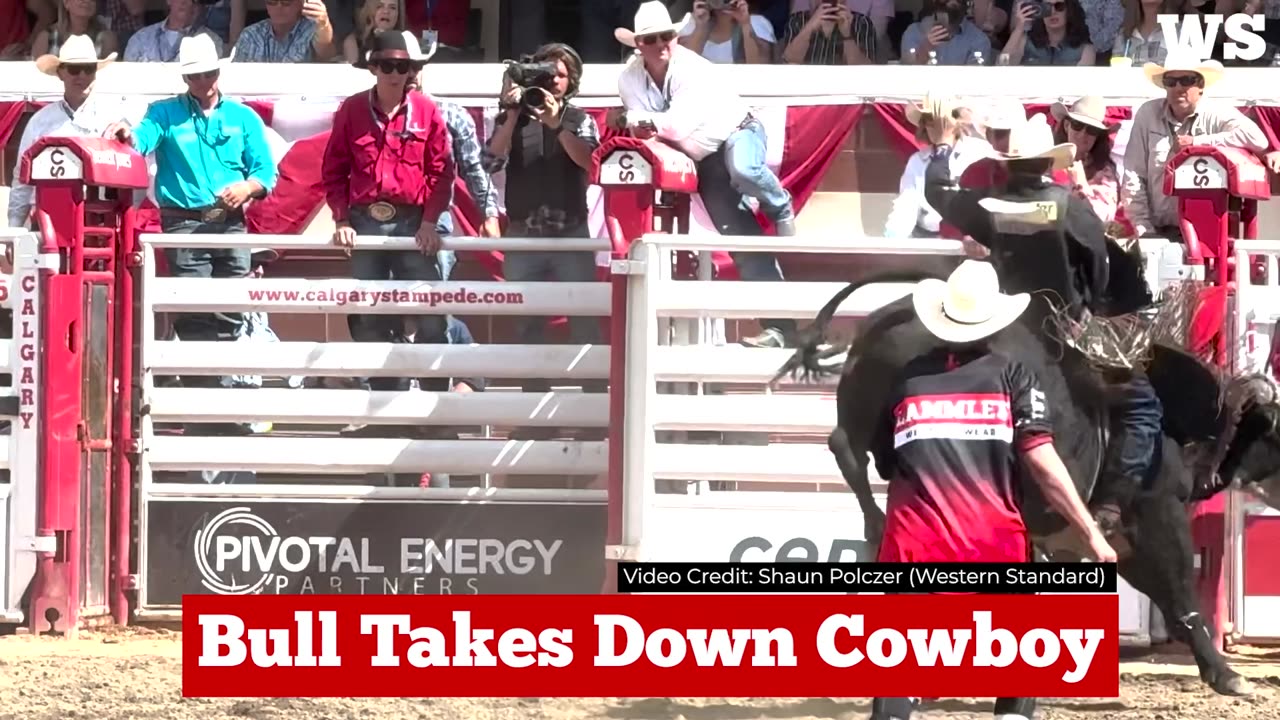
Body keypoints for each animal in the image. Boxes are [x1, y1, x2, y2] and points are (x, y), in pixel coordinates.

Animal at [768, 266, 1280, 691]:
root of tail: (899, 313)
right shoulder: (1157, 520)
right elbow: (1180, 598)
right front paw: (1226, 674)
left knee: (851, 449)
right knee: (843, 445)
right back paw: (875, 523)